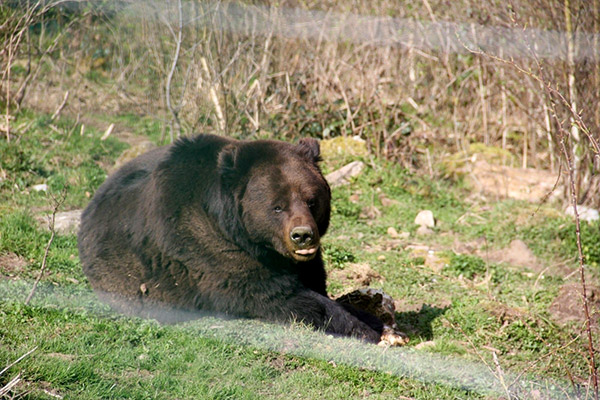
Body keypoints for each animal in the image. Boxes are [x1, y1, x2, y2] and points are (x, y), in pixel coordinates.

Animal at [78, 134, 380, 344]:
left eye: (311, 200)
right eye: (277, 206)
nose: (302, 236)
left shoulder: (302, 261)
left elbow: (315, 283)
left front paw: (369, 316)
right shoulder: (204, 245)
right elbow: (279, 295)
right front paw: (364, 328)